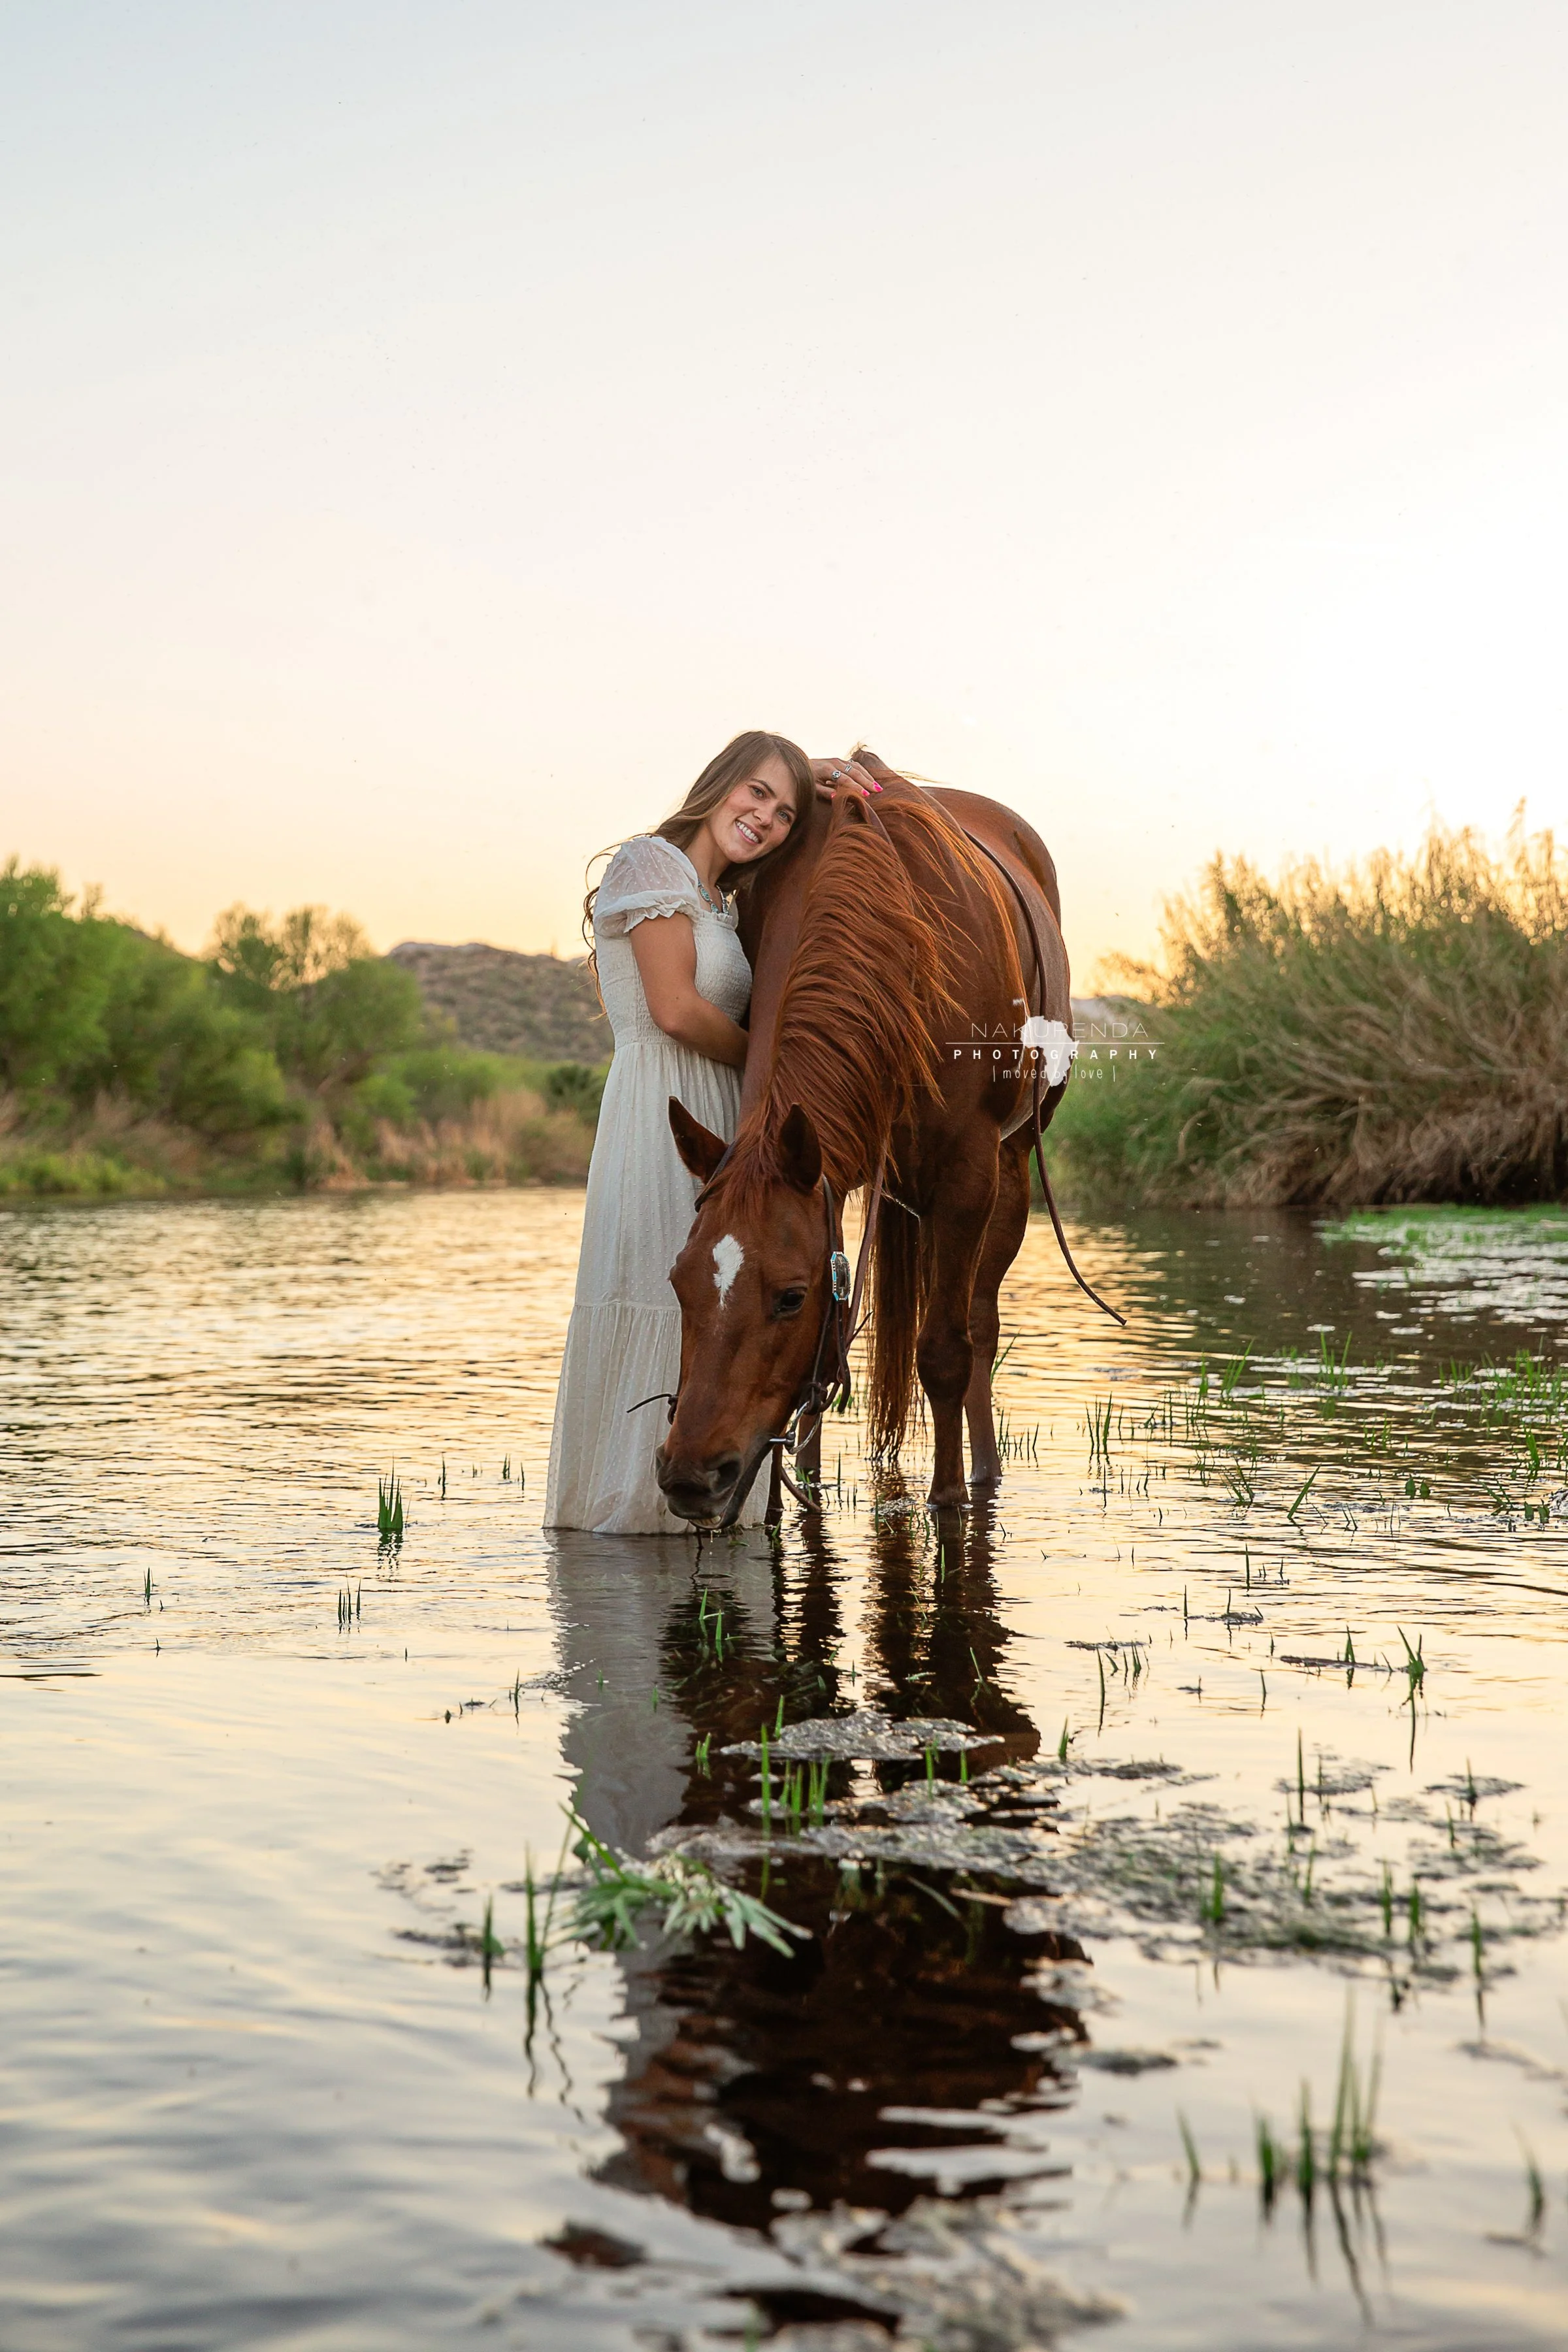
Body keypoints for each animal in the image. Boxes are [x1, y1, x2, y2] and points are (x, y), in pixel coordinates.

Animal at [655, 748, 1083, 1523]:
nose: (689, 1476)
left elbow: (944, 1351)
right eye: (679, 1282)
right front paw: (794, 1496)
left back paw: (985, 1473)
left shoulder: (967, 1175)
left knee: (980, 1325)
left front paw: (949, 1498)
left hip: (1010, 1170)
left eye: (791, 1297)